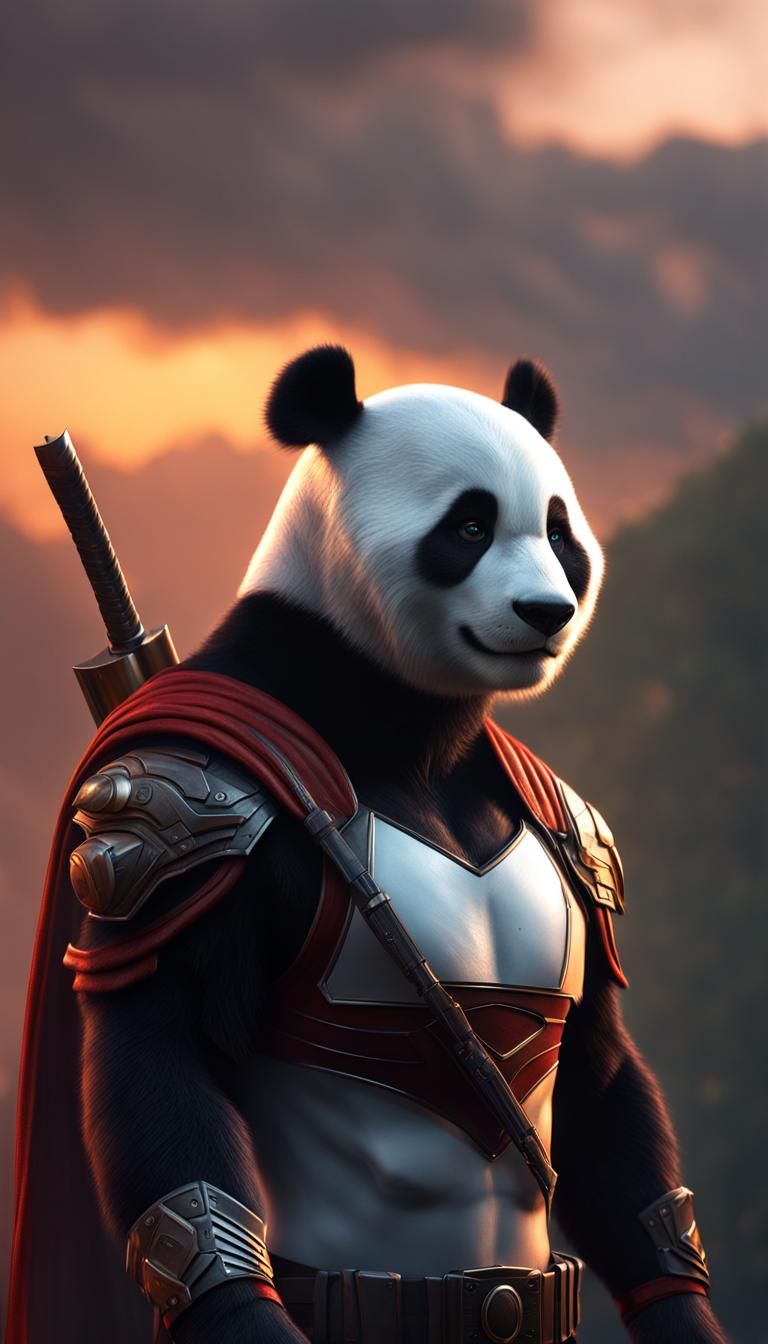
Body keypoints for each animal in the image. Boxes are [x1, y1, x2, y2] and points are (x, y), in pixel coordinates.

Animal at [54, 348, 718, 1344]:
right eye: (469, 525)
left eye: (559, 532)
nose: (547, 609)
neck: (400, 715)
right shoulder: (191, 804)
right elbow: (161, 1060)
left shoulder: (577, 836)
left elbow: (603, 1081)